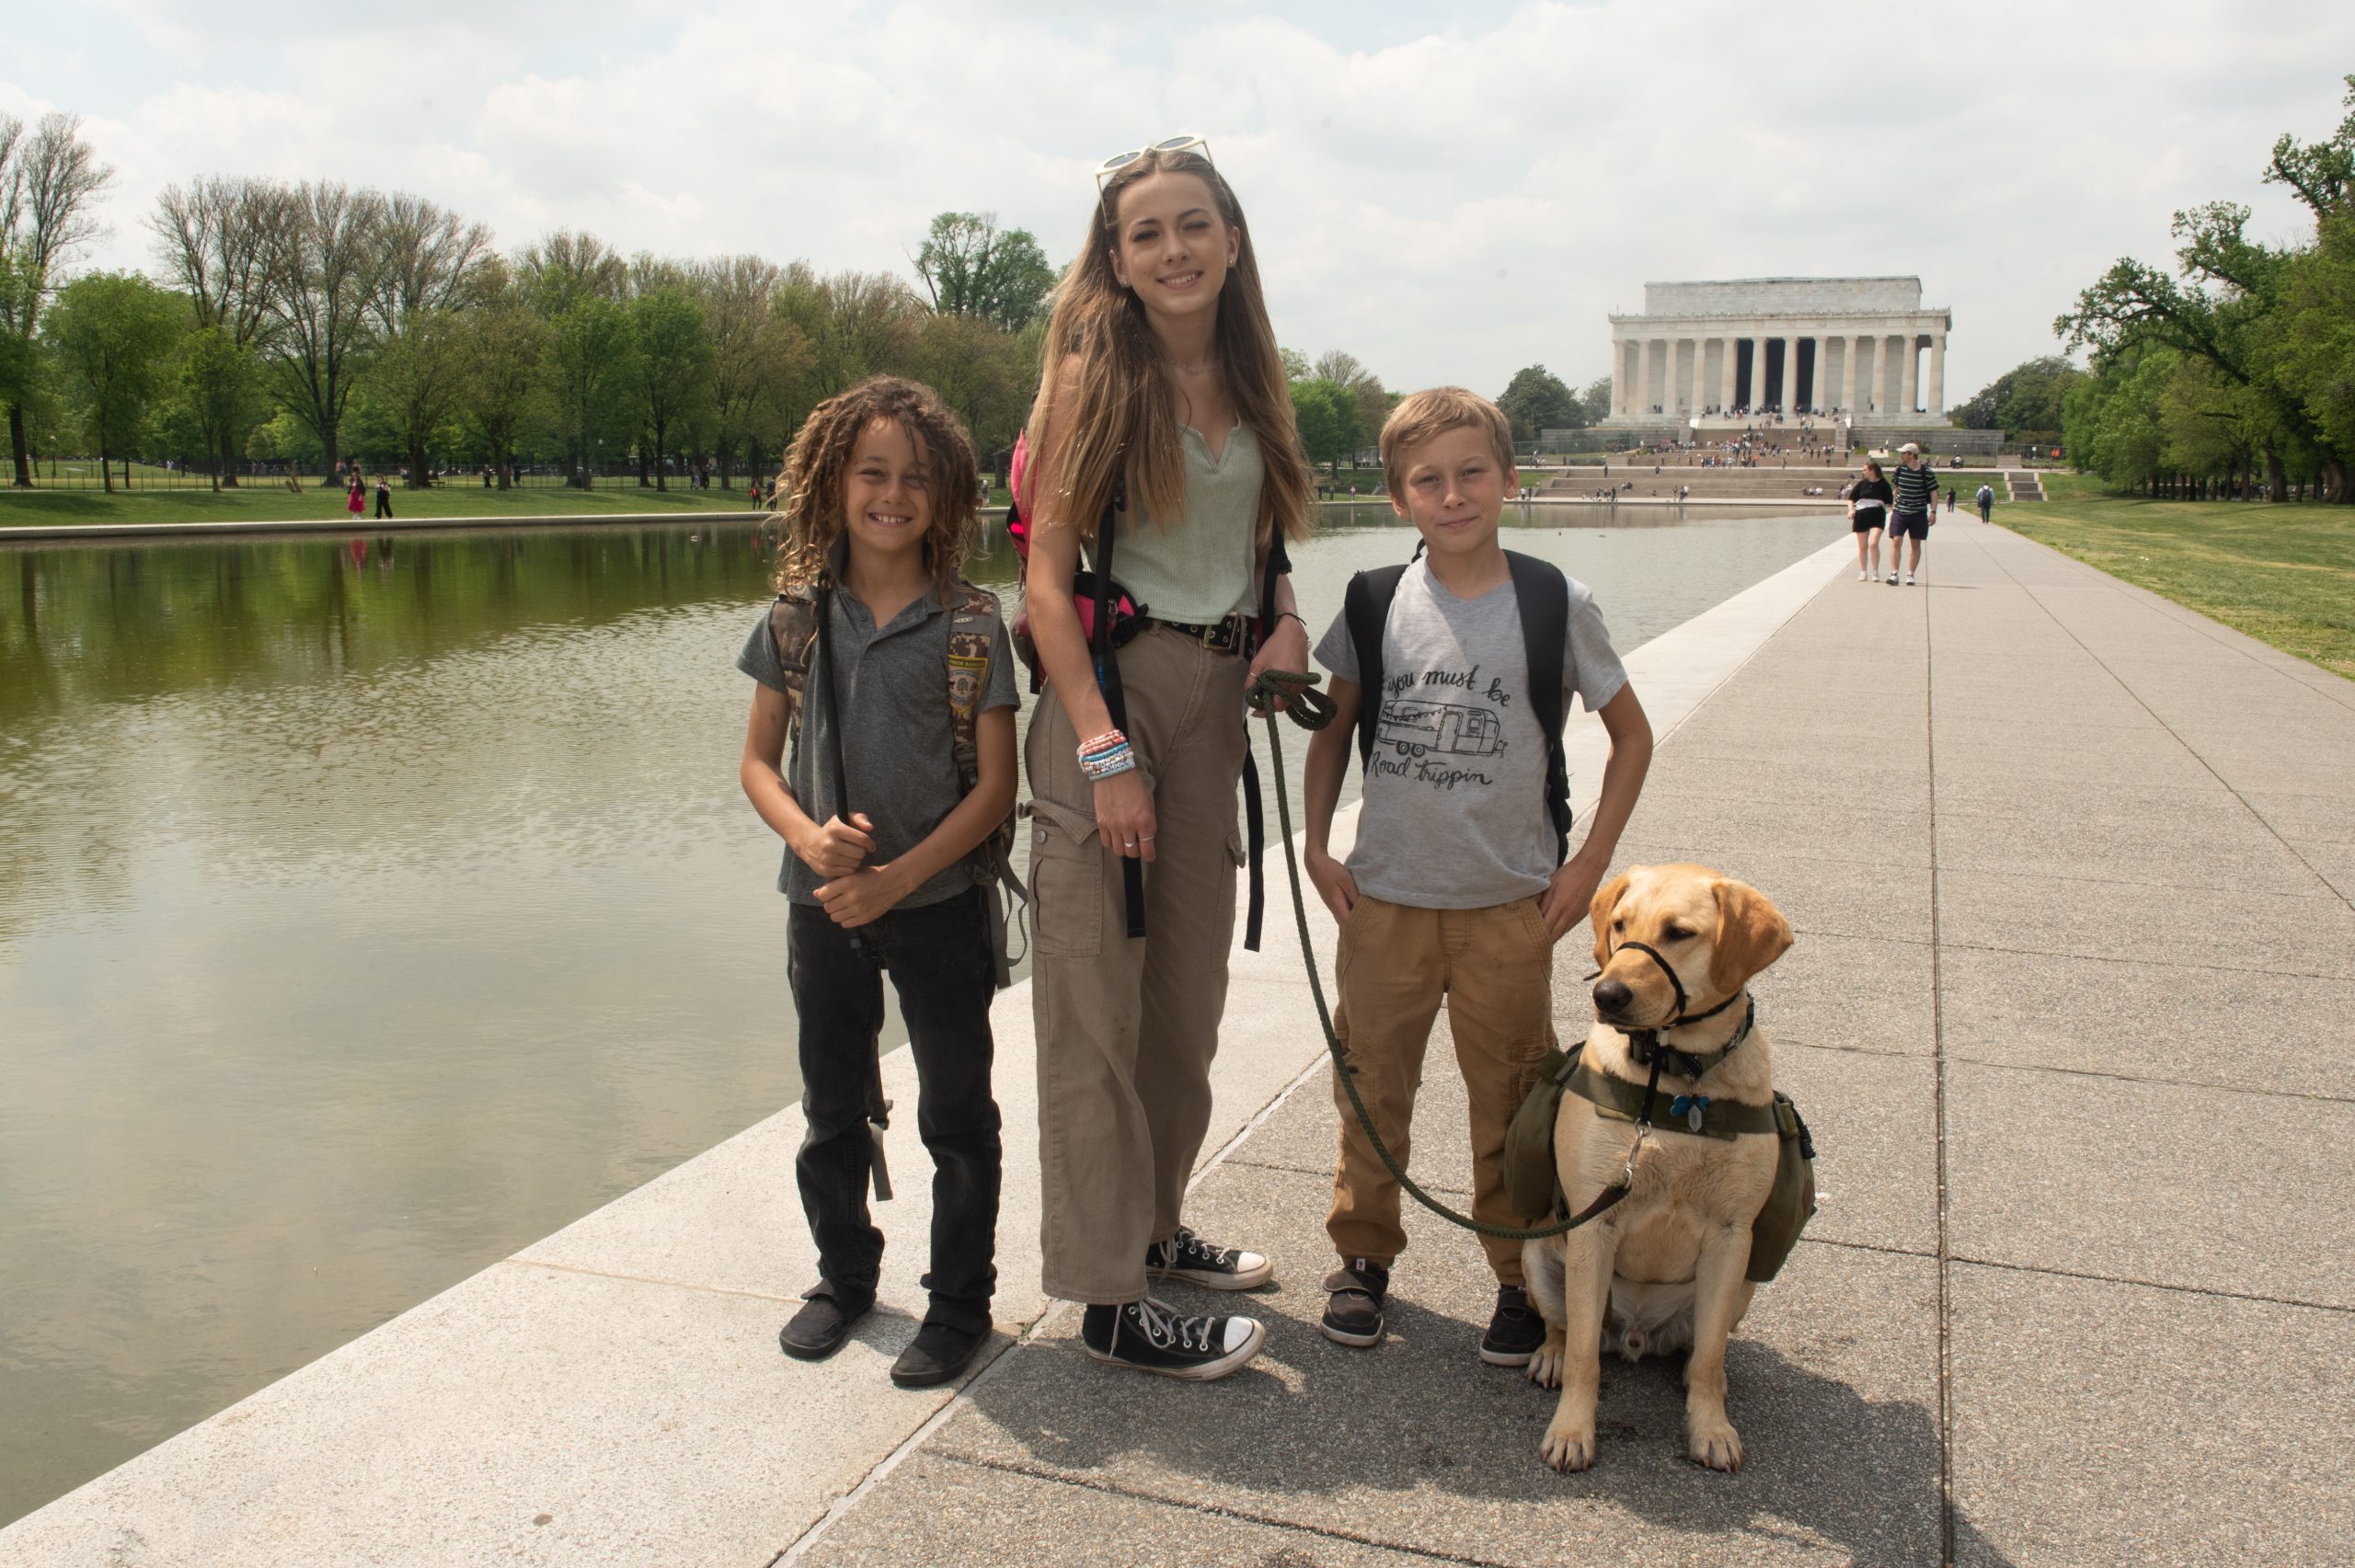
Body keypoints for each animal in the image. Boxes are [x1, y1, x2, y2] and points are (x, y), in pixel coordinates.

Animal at [1516, 861, 1789, 1469]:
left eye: (1679, 933)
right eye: (1620, 924)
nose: (1607, 994)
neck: (1678, 1073)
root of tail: (1637, 1334)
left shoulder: (1732, 1233)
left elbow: (1710, 1354)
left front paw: (1710, 1427)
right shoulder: (1593, 1224)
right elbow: (1584, 1358)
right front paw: (1572, 1430)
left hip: (1741, 1284)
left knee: (1702, 1346)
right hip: (1540, 1257)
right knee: (1567, 1329)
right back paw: (1551, 1353)